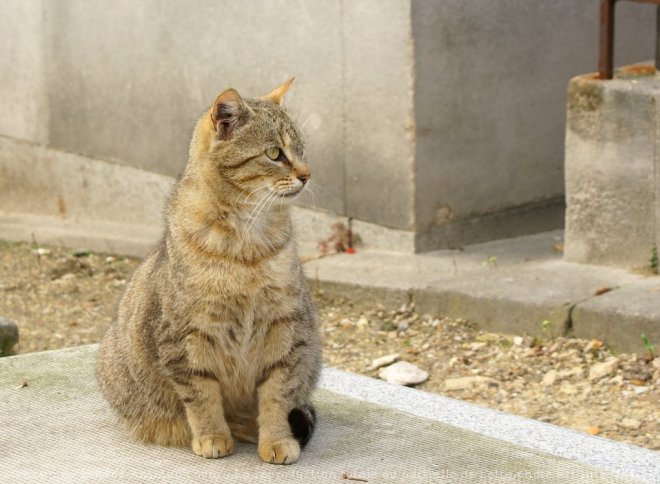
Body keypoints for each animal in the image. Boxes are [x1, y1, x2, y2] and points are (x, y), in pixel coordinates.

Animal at [97, 79, 322, 466]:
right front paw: (212, 436)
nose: (307, 175)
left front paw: (277, 440)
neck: (247, 241)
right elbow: (202, 397)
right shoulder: (186, 337)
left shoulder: (285, 328)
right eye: (274, 153)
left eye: (301, 150)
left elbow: (277, 395)